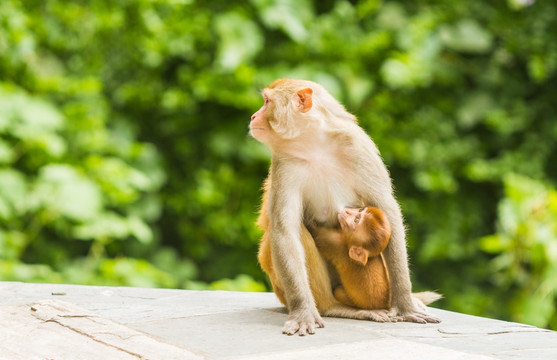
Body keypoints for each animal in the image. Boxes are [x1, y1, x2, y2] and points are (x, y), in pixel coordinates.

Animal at [251, 78, 438, 334]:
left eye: (266, 101)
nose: (253, 116)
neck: (314, 145)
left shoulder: (357, 146)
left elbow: (386, 209)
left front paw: (405, 305)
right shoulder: (284, 162)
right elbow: (284, 229)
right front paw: (303, 312)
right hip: (283, 290)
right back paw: (333, 308)